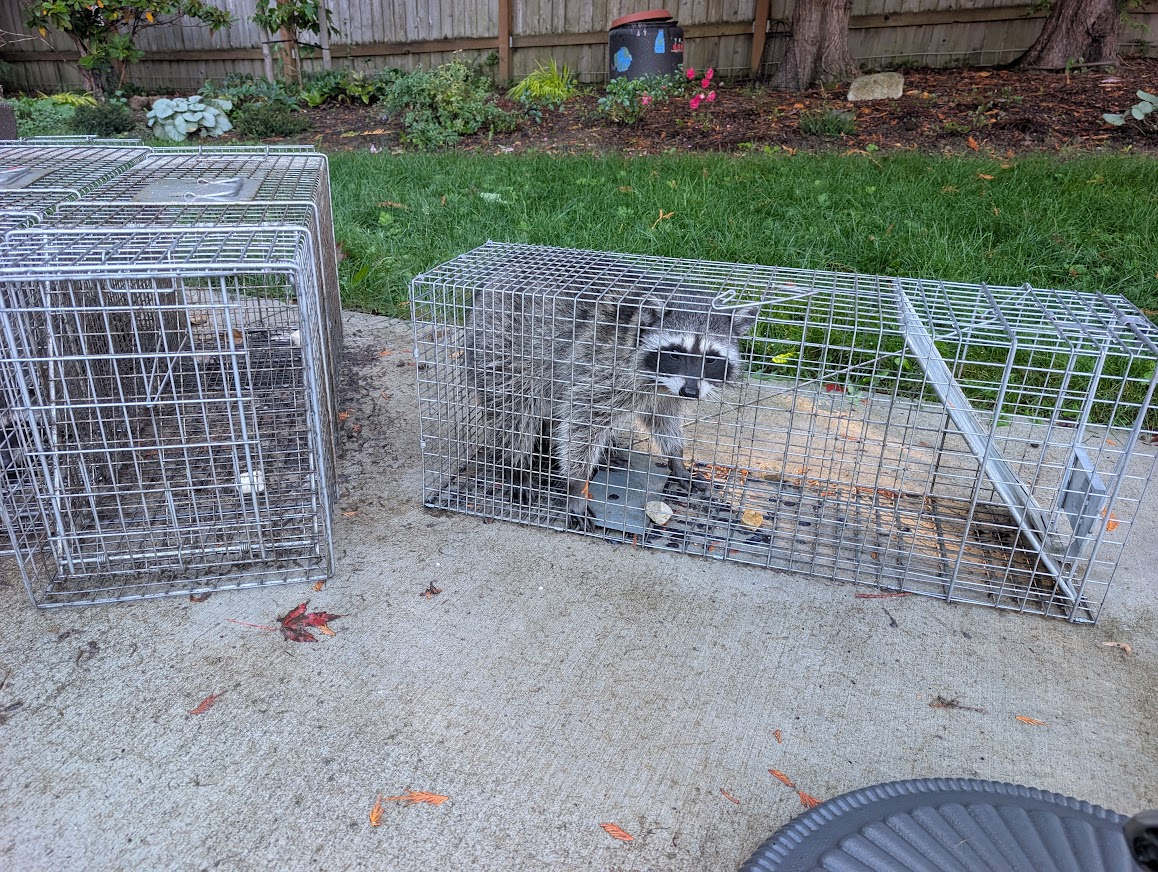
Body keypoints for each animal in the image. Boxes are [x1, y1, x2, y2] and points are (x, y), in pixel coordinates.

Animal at [464, 255, 760, 528]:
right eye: (675, 352)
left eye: (710, 359)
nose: (690, 392)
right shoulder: (604, 367)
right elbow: (583, 422)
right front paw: (576, 485)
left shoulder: (662, 391)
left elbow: (663, 419)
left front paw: (676, 459)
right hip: (504, 347)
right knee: (513, 408)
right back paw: (515, 463)